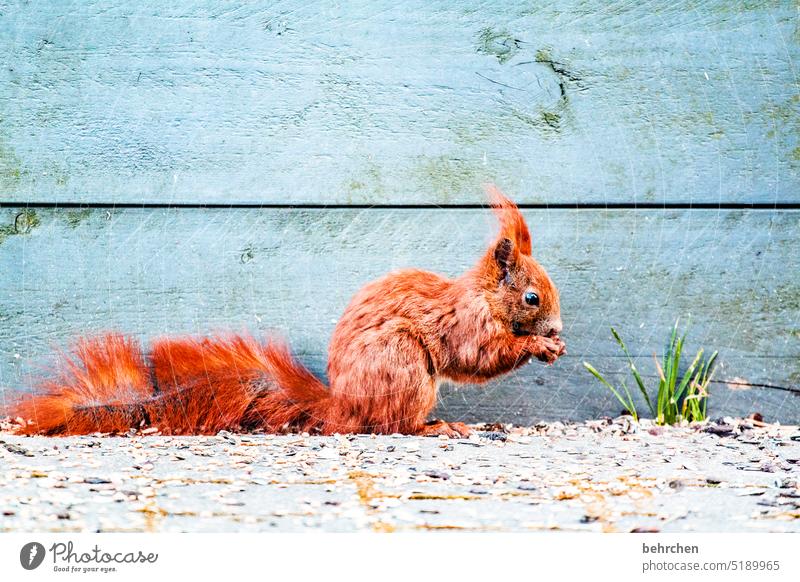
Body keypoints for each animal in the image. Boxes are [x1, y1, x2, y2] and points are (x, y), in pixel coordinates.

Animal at [9, 187, 564, 438]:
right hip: (405, 368)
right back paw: (436, 428)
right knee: (392, 426)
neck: (484, 296)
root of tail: (343, 407)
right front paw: (539, 344)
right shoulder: (465, 323)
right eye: (532, 298)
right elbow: (478, 356)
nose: (560, 329)